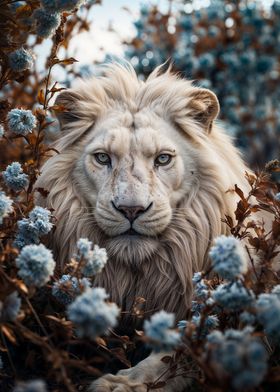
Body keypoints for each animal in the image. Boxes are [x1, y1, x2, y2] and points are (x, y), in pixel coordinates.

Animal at [36, 62, 253, 390]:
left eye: (162, 159)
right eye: (103, 158)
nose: (131, 209)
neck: (139, 276)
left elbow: (176, 356)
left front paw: (124, 383)